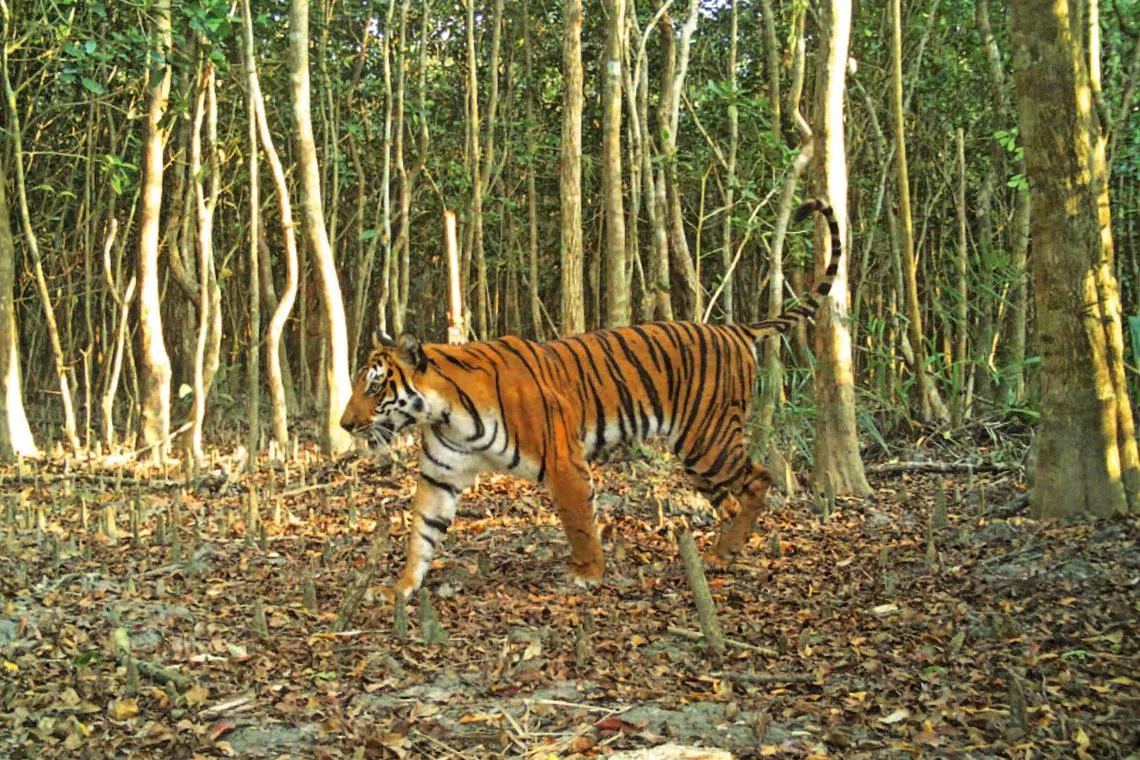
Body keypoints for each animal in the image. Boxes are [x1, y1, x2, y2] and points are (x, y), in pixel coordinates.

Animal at [340, 199, 842, 601]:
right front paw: (400, 588)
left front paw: (588, 573)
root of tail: (734, 328)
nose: (344, 425)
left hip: (709, 440)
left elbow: (579, 520)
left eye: (374, 385)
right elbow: (421, 533)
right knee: (732, 500)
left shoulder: (564, 461)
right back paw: (721, 552)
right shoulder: (440, 474)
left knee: (759, 478)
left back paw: (729, 548)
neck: (445, 413)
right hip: (698, 453)